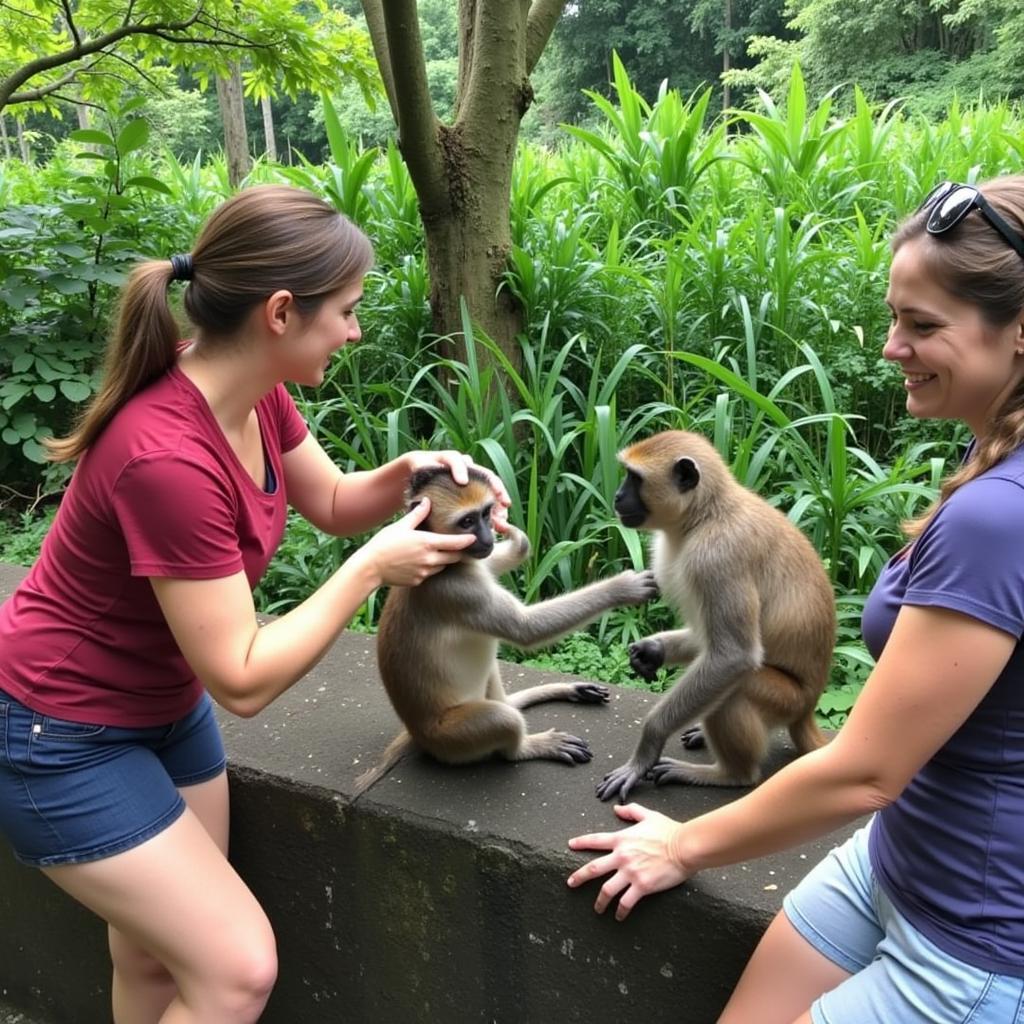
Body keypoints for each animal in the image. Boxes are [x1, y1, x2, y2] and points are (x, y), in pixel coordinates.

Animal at [352, 468, 659, 794]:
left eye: (485, 514)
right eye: (467, 522)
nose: (487, 536)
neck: (446, 562)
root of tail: (417, 734)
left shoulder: (478, 563)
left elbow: (497, 562)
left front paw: (514, 535)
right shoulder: (459, 591)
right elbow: (526, 629)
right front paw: (623, 588)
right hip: (450, 738)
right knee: (504, 721)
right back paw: (527, 746)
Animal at [598, 428, 835, 802]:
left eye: (634, 478)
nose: (618, 496)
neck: (706, 514)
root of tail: (808, 706)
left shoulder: (716, 558)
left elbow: (732, 655)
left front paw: (646, 749)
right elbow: (706, 640)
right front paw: (651, 651)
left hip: (786, 701)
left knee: (736, 689)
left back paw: (730, 774)